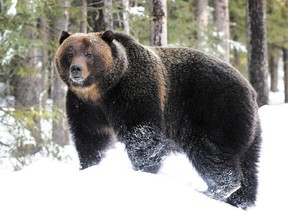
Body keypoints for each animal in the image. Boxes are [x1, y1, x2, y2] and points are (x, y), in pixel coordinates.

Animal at [54, 30, 260, 209]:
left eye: (89, 54)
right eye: (70, 53)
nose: (76, 69)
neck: (102, 91)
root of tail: (250, 89)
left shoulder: (135, 93)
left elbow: (142, 135)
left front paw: (144, 171)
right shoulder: (84, 106)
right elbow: (90, 138)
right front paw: (89, 166)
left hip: (215, 111)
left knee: (211, 151)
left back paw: (214, 190)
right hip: (247, 129)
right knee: (249, 165)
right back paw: (240, 200)